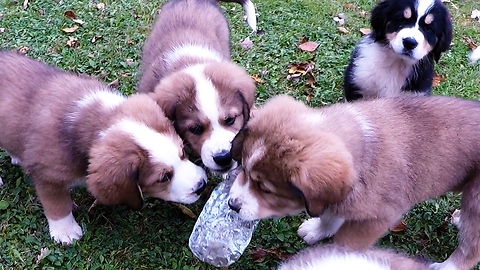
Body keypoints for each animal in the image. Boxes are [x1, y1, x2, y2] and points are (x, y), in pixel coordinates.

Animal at [0, 51, 207, 246]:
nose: (202, 186)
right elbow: (57, 204)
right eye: (163, 178)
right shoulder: (48, 176)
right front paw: (65, 231)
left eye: (183, 153)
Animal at [227, 95, 480, 270]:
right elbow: (329, 215)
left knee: (471, 247)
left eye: (265, 189)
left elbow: (347, 243)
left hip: (476, 200)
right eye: (244, 170)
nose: (232, 205)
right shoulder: (337, 198)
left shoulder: (376, 219)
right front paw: (318, 231)